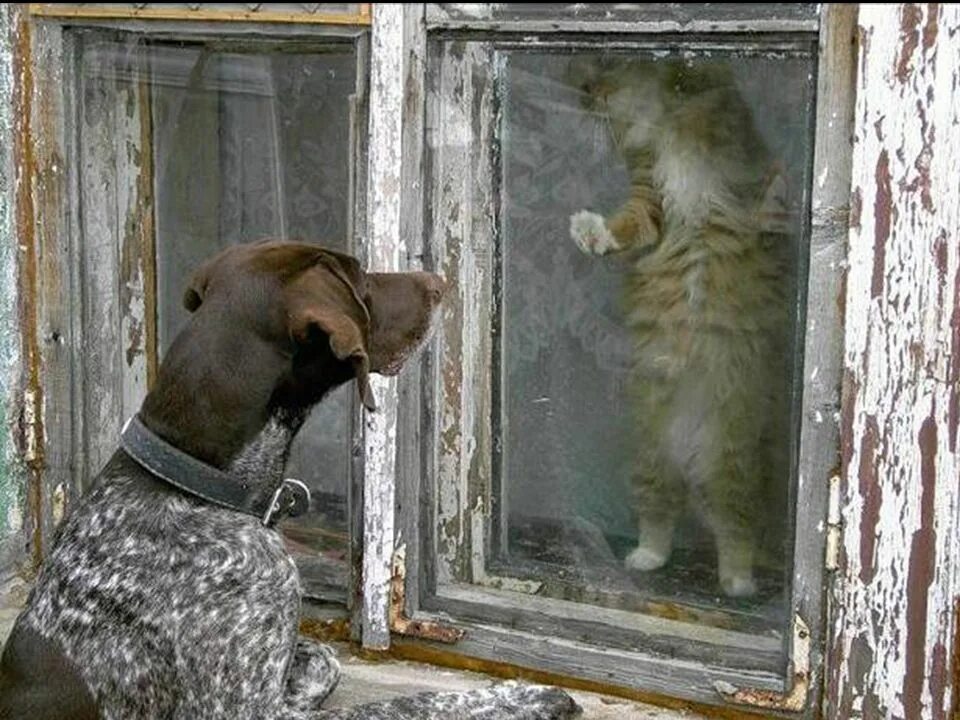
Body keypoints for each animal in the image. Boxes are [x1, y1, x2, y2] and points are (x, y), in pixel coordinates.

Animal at [0, 242, 576, 720]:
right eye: (360, 281)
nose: (438, 281)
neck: (195, 484)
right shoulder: (245, 712)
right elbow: (403, 707)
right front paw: (524, 697)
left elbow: (323, 657)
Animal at [568, 54, 792, 596]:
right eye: (585, 81)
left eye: (603, 71)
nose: (585, 93)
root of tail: (691, 458)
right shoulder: (648, 199)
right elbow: (625, 227)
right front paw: (590, 233)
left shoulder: (725, 135)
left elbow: (699, 90)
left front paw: (676, 73)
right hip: (654, 460)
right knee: (661, 520)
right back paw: (647, 560)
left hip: (732, 467)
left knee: (737, 533)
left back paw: (738, 584)